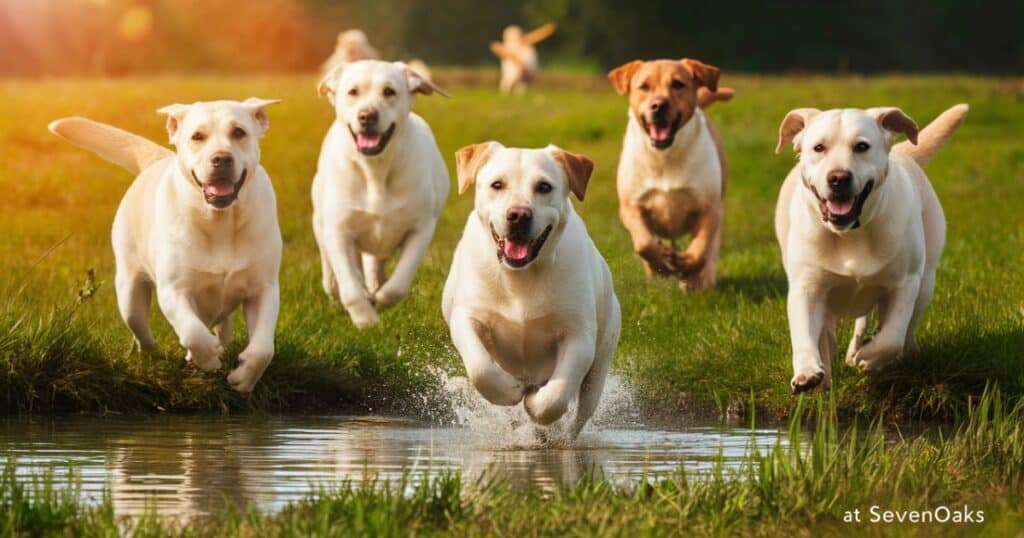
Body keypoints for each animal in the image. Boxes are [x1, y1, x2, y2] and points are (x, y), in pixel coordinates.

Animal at [606, 58, 737, 288]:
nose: (658, 105)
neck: (664, 157)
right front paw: (660, 262)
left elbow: (701, 247)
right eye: (644, 86)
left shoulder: (710, 208)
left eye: (677, 84)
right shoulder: (631, 206)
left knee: (710, 251)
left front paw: (687, 265)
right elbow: (644, 243)